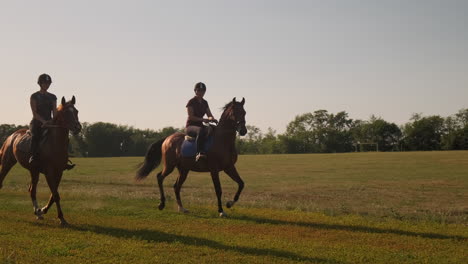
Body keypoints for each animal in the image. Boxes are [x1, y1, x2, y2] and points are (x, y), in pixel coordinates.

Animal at [0, 96, 81, 225]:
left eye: (76, 111)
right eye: (65, 112)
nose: (77, 128)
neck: (55, 143)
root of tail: (11, 136)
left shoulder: (59, 172)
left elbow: (53, 195)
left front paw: (43, 210)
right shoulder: (49, 173)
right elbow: (55, 195)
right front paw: (61, 218)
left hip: (34, 171)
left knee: (32, 190)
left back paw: (38, 213)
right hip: (7, 163)